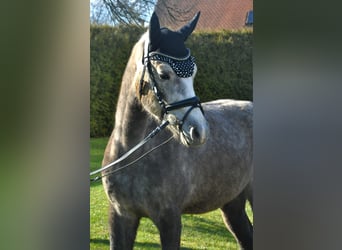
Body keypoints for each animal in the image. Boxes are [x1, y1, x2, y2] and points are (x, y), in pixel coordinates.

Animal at [100, 11, 252, 248]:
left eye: (194, 73)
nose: (199, 131)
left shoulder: (169, 219)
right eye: (164, 74)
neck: (130, 151)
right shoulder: (120, 215)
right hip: (232, 203)